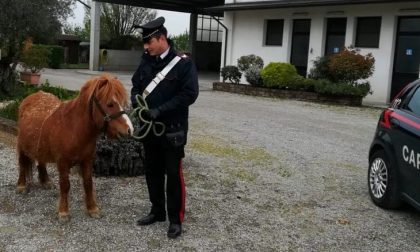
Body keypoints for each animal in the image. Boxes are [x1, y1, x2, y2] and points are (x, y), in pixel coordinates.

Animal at [16, 74, 133, 220]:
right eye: (110, 104)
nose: (130, 130)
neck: (73, 129)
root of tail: (32, 96)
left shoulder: (87, 160)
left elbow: (88, 183)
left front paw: (92, 209)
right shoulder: (62, 163)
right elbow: (65, 185)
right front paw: (63, 212)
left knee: (41, 161)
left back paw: (45, 181)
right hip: (21, 146)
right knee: (22, 164)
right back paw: (21, 185)